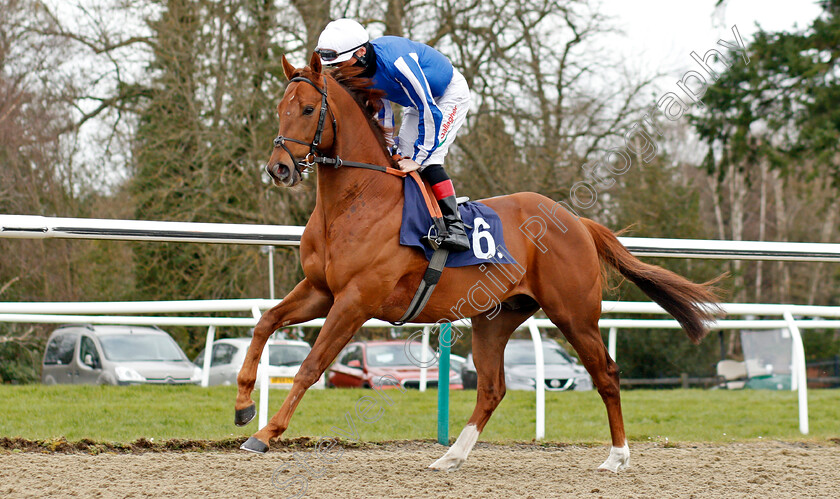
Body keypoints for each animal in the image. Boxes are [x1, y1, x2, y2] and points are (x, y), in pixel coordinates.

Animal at [236, 52, 720, 474]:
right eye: (279, 108)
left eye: (308, 108)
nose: (278, 168)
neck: (359, 201)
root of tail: (576, 221)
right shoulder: (320, 290)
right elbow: (265, 324)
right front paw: (243, 405)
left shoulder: (355, 300)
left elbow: (309, 367)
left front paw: (266, 433)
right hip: (496, 317)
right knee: (491, 388)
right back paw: (450, 457)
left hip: (574, 313)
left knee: (607, 374)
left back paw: (617, 457)